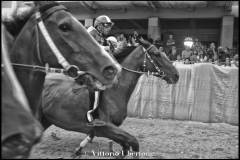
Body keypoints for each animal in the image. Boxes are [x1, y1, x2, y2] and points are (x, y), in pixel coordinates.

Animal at [41, 37, 180, 159]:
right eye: (157, 54)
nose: (176, 75)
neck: (114, 90)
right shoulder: (105, 126)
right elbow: (133, 142)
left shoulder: (107, 129)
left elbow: (125, 147)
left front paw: (78, 150)